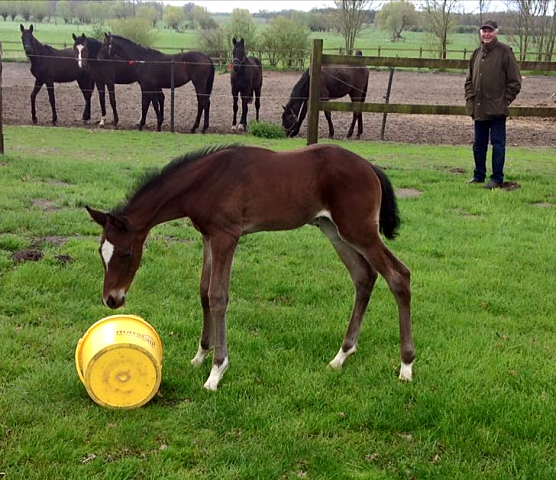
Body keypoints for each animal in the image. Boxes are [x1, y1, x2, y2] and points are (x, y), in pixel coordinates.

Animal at [87, 142, 414, 390]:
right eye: (101, 253)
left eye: (127, 253)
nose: (111, 299)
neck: (204, 181)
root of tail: (370, 167)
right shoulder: (208, 237)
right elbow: (204, 292)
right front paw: (200, 356)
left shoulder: (226, 236)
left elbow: (218, 297)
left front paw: (216, 371)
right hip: (333, 230)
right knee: (364, 276)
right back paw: (341, 356)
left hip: (358, 230)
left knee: (399, 275)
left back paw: (406, 366)